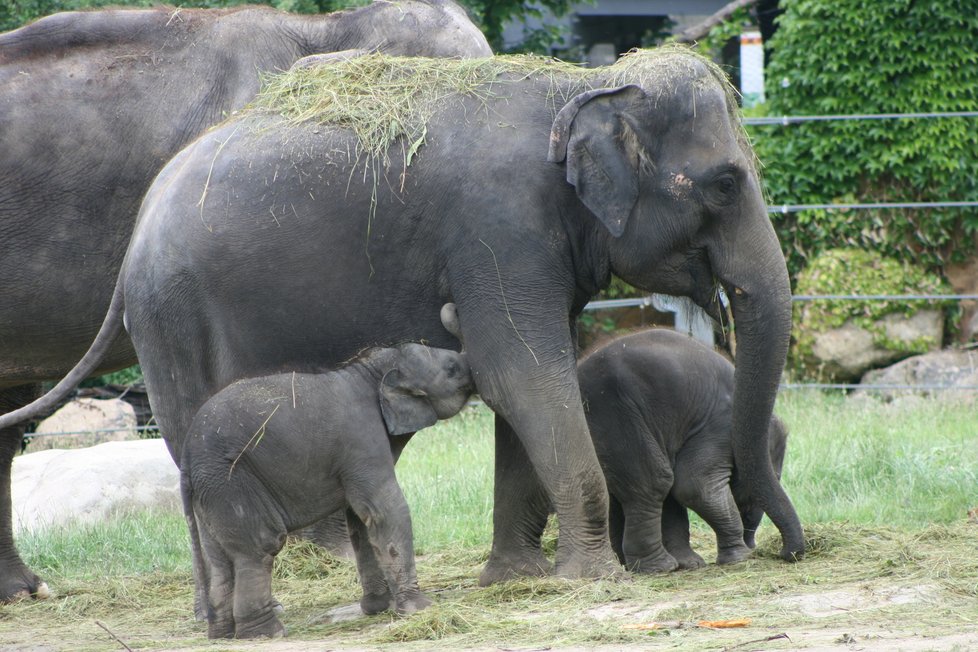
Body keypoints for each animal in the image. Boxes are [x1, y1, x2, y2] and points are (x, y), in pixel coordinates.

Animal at [576, 328, 788, 572]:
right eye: (777, 476)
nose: (782, 552)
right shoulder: (717, 428)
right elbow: (694, 485)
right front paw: (740, 558)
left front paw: (693, 563)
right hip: (616, 414)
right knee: (654, 481)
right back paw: (660, 567)